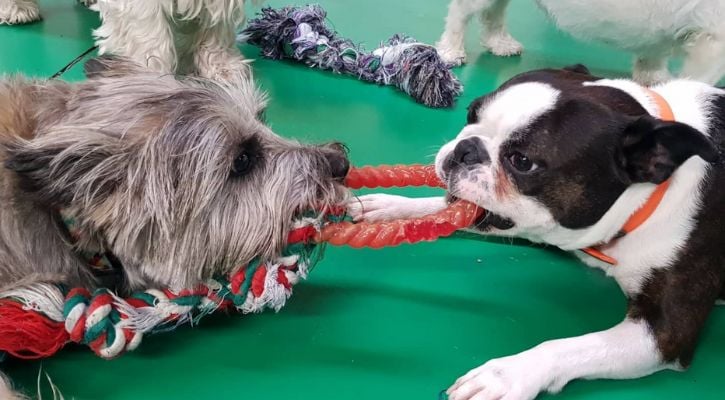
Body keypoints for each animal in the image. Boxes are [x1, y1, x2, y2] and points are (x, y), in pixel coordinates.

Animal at [348, 64, 720, 398]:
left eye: (522, 161)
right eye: (470, 114)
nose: (466, 148)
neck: (647, 198)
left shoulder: (666, 333)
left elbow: (568, 347)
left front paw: (505, 375)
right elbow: (442, 210)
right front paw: (390, 208)